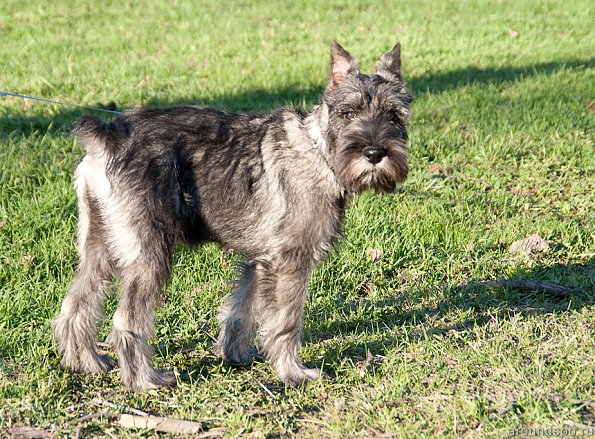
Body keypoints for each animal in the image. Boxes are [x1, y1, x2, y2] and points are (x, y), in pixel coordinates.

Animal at [53, 42, 412, 392]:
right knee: (126, 320)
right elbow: (285, 320)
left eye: (395, 115)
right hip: (148, 254)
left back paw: (87, 363)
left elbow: (243, 309)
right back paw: (144, 379)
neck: (319, 152)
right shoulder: (292, 260)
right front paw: (293, 372)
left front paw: (234, 353)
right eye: (347, 113)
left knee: (76, 305)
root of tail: (106, 137)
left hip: (100, 246)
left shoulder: (260, 260)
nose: (375, 153)